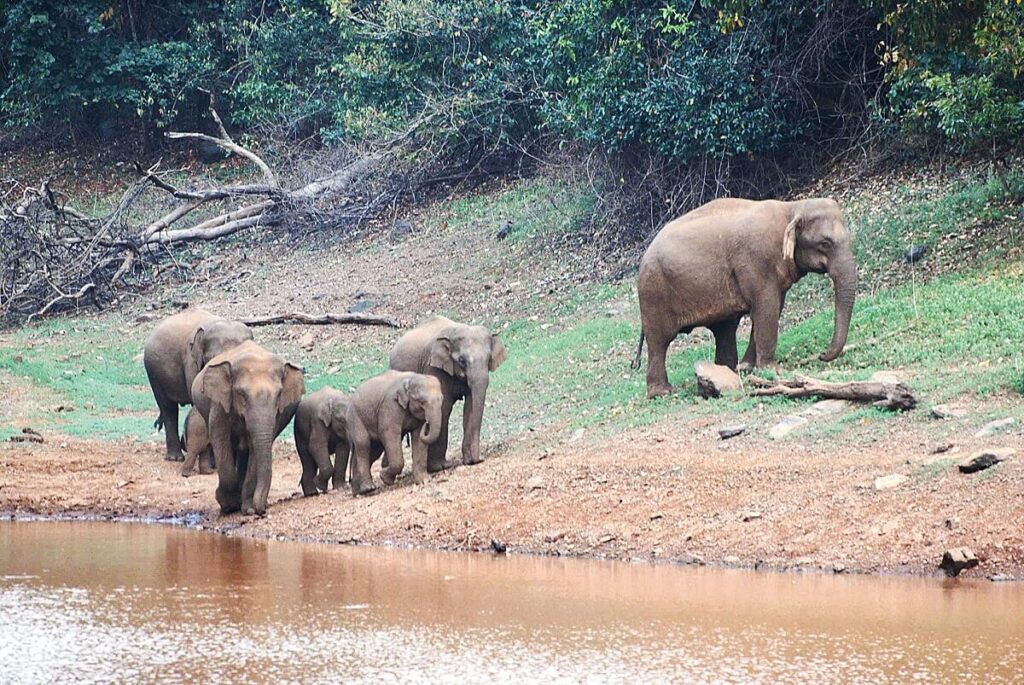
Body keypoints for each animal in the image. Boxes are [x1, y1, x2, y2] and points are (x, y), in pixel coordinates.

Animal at [191, 341, 304, 516]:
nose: (261, 510)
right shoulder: (220, 403)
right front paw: (228, 505)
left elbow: (255, 446)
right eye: (241, 394)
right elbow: (220, 438)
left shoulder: (277, 415)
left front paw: (248, 508)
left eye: (279, 395)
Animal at [389, 316, 507, 472]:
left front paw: (469, 461)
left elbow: (470, 406)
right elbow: (444, 408)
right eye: (462, 360)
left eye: (488, 360)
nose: (479, 459)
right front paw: (440, 467)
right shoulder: (434, 367)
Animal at [635, 197, 857, 398]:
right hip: (653, 291)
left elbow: (772, 309)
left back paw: (728, 371)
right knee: (660, 341)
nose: (822, 354)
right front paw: (772, 370)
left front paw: (748, 367)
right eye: (825, 243)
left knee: (724, 329)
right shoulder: (757, 262)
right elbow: (766, 308)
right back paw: (663, 392)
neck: (792, 208)